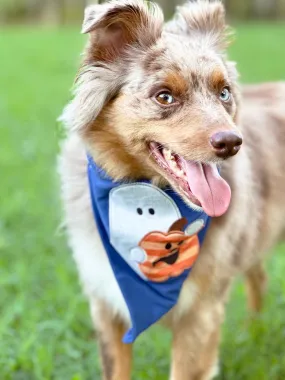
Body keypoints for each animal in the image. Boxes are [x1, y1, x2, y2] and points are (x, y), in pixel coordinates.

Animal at [57, 1, 284, 378]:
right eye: (164, 96)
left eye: (224, 93)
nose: (232, 142)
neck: (146, 192)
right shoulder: (105, 303)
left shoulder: (201, 313)